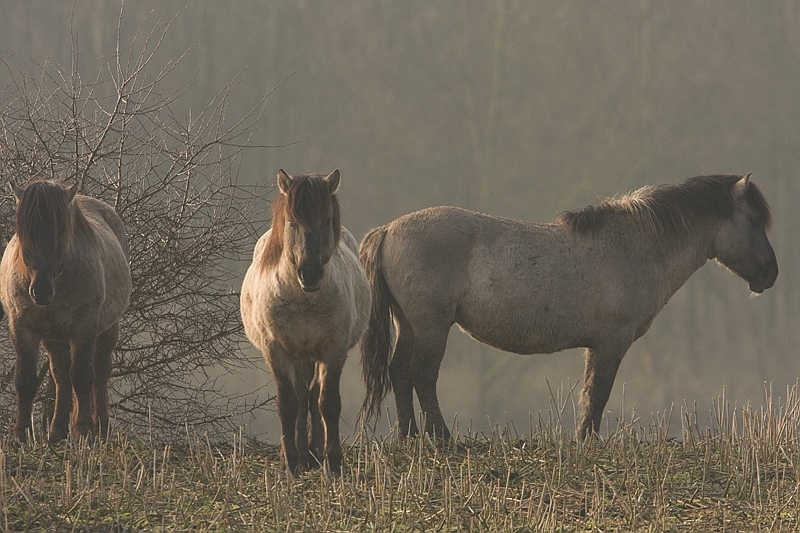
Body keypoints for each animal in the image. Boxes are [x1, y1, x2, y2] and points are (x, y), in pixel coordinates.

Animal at [0, 181, 131, 442]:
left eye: (60, 232)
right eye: (25, 233)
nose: (41, 291)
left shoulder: (85, 325)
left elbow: (82, 375)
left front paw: (84, 430)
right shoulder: (22, 327)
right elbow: (25, 380)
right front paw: (21, 435)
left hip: (107, 330)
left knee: (100, 372)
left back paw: (101, 429)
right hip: (54, 336)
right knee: (60, 375)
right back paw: (57, 432)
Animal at [239, 168, 370, 472]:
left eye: (327, 219)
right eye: (291, 221)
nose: (310, 273)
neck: (303, 299)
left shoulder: (333, 350)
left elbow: (327, 403)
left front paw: (332, 460)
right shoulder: (276, 349)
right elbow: (288, 404)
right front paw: (290, 461)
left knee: (312, 397)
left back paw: (313, 451)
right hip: (297, 356)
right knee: (300, 397)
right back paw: (301, 453)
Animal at [360, 172, 776, 438]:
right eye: (753, 220)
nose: (771, 274)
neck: (636, 246)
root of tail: (389, 230)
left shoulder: (597, 345)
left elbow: (589, 394)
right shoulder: (612, 342)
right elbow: (598, 394)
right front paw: (588, 442)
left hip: (408, 324)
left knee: (399, 373)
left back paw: (409, 437)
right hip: (431, 326)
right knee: (421, 375)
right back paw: (441, 438)